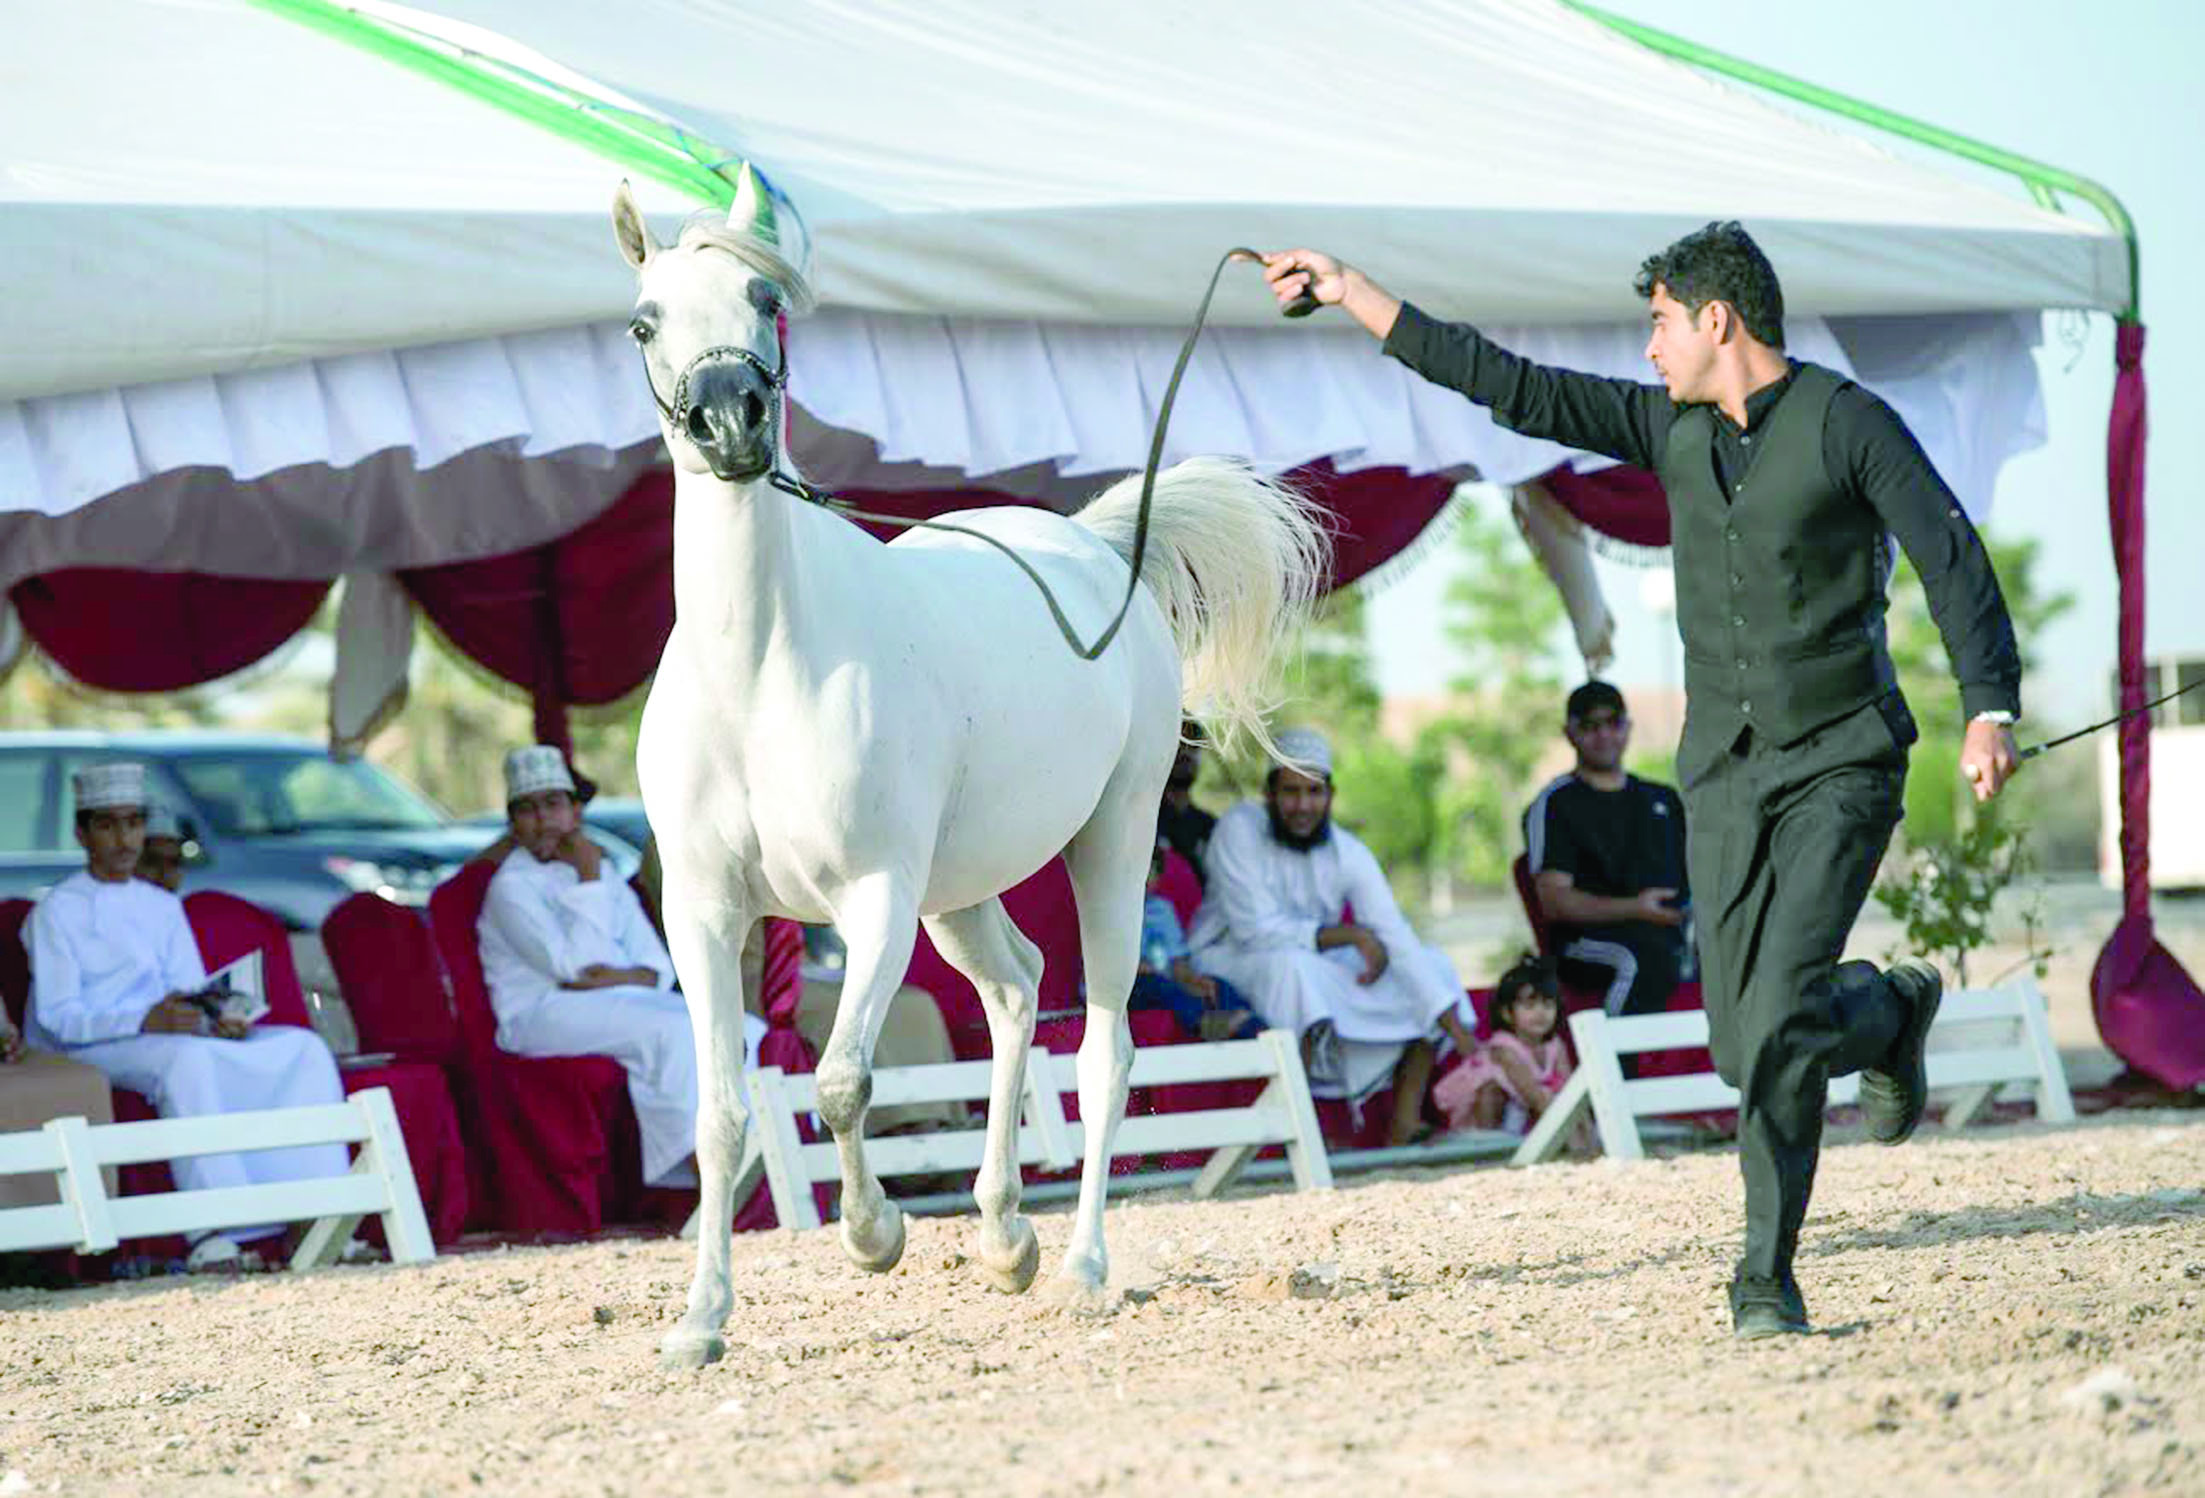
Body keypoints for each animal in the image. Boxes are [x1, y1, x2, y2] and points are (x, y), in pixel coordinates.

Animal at [612, 178, 1314, 1367]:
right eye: (642, 323)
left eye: (765, 298)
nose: (729, 424)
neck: (761, 674)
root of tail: (1093, 548)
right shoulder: (704, 912)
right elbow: (722, 1112)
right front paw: (699, 1323)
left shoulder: (874, 898)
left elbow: (842, 1081)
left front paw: (874, 1236)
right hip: (962, 891)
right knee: (1017, 987)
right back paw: (1002, 1237)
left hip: (1112, 844)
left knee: (1105, 1051)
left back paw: (1076, 1266)